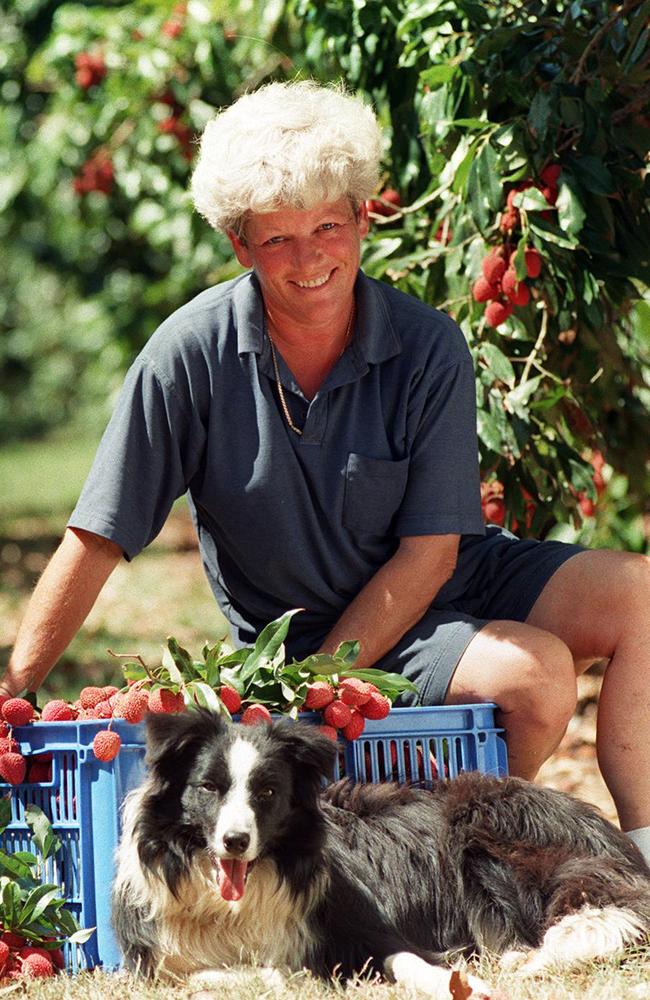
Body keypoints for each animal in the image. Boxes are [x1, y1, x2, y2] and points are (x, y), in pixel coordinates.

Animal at [111, 708, 648, 996]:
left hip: (483, 839)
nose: (235, 842)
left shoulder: (369, 927)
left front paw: (465, 986)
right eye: (208, 787)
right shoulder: (157, 967)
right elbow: (224, 975)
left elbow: (409, 960)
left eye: (266, 792)